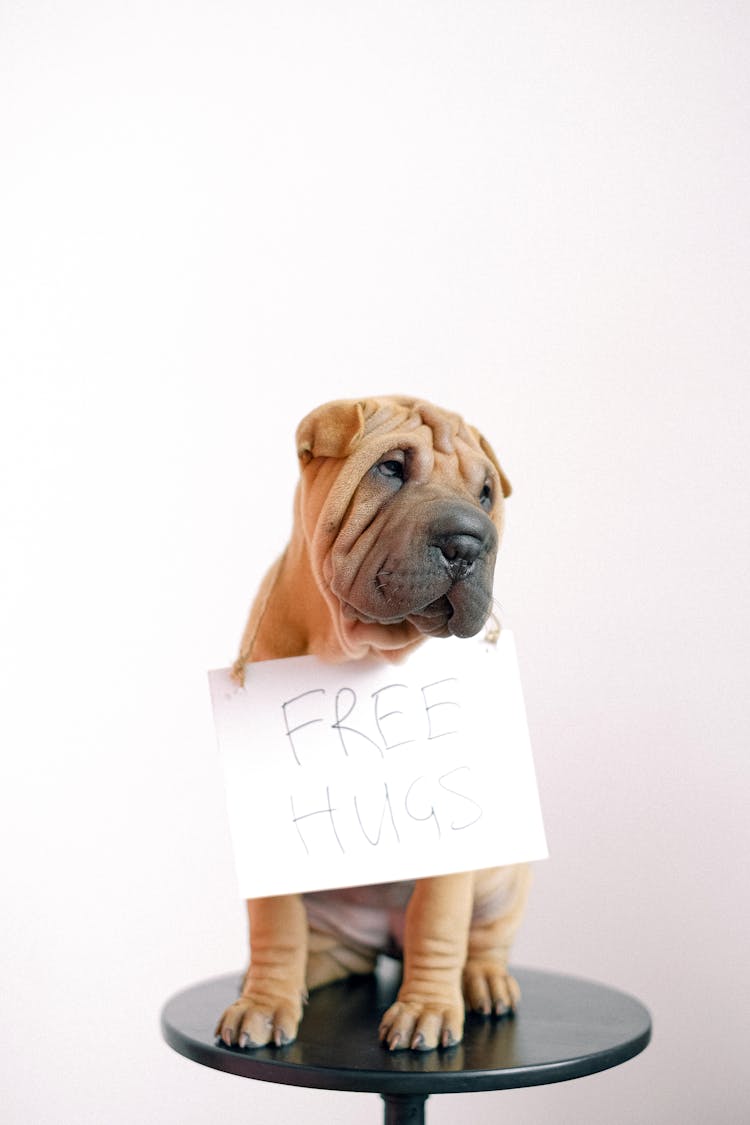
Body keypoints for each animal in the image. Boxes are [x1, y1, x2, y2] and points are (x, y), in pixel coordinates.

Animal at [213, 398, 530, 1053]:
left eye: (487, 492)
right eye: (390, 468)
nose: (468, 541)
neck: (356, 653)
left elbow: (438, 923)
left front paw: (427, 1009)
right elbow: (275, 926)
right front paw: (264, 1003)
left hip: (504, 884)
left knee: (482, 940)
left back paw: (485, 982)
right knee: (324, 949)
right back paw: (298, 974)